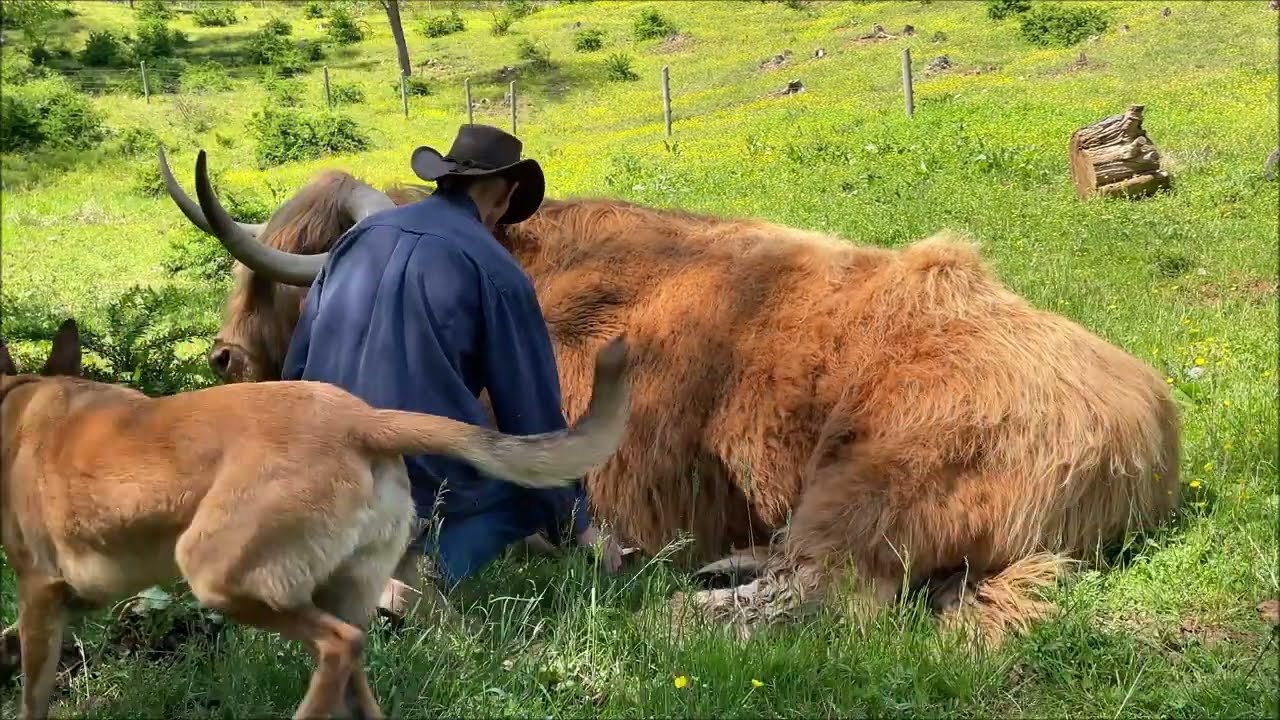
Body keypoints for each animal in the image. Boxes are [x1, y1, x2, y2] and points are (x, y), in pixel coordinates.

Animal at [158, 148, 1182, 643]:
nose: (222, 356)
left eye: (269, 278)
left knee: (832, 593)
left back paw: (671, 606)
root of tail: (1149, 430)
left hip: (874, 484)